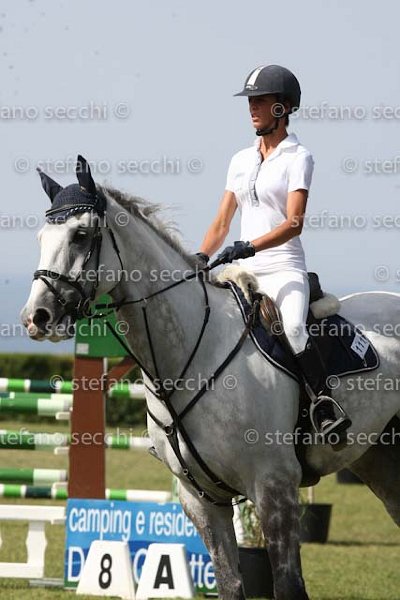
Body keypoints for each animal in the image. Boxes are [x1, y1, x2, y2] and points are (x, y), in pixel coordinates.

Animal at [21, 156, 400, 600]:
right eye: (41, 236)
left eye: (80, 235)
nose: (36, 317)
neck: (194, 353)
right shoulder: (203, 500)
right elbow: (229, 584)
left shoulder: (274, 489)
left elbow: (289, 586)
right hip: (379, 458)